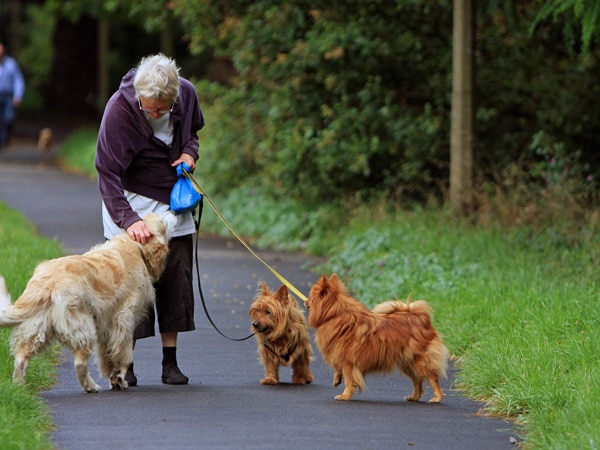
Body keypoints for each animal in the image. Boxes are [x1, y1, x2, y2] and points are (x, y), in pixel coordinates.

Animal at [0, 213, 175, 392]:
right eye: (162, 219)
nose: (173, 212)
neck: (134, 245)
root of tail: (48, 283)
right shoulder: (123, 319)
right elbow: (123, 354)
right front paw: (119, 378)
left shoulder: (106, 325)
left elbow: (107, 355)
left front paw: (113, 377)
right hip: (83, 328)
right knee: (79, 363)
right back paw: (92, 386)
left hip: (36, 329)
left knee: (21, 358)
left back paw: (19, 388)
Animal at [308, 272, 448, 402]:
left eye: (310, 296)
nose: (306, 302)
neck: (335, 315)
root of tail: (422, 319)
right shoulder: (339, 355)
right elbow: (338, 370)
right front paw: (337, 379)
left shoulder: (348, 363)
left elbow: (349, 381)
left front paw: (345, 396)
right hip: (407, 363)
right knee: (417, 380)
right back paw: (414, 397)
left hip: (419, 360)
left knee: (432, 378)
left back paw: (437, 398)